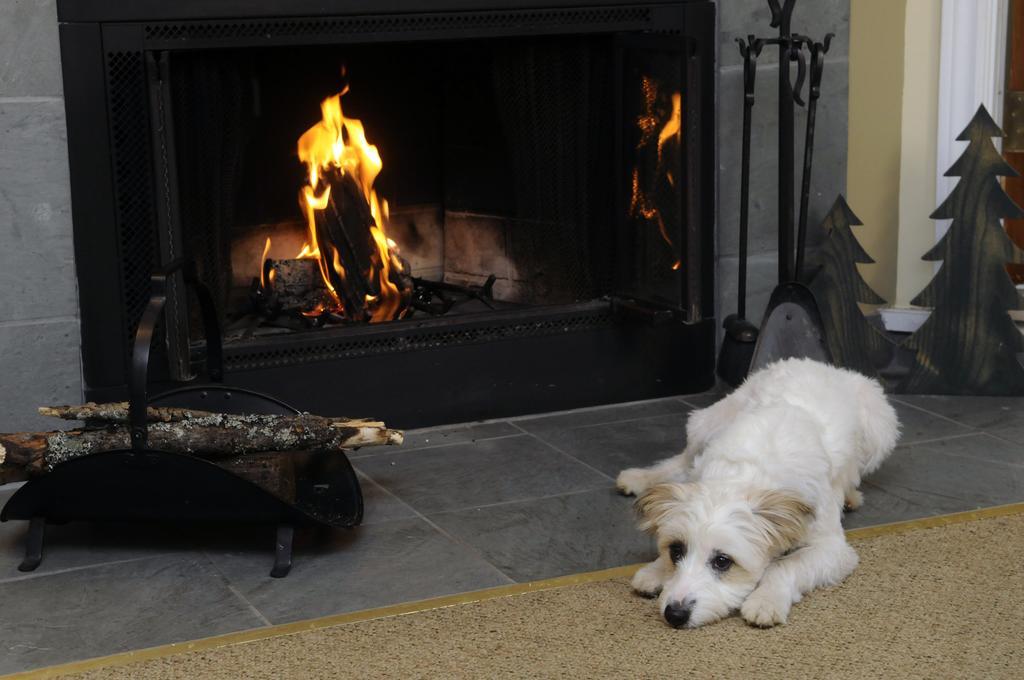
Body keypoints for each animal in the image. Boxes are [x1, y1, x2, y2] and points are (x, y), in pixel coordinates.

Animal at [614, 358, 897, 630]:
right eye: (676, 551)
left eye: (722, 561)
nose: (675, 614)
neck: (746, 474)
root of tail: (822, 364)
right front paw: (656, 570)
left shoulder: (833, 549)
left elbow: (787, 564)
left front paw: (766, 600)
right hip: (705, 424)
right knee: (682, 461)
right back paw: (641, 477)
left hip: (880, 427)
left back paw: (851, 496)